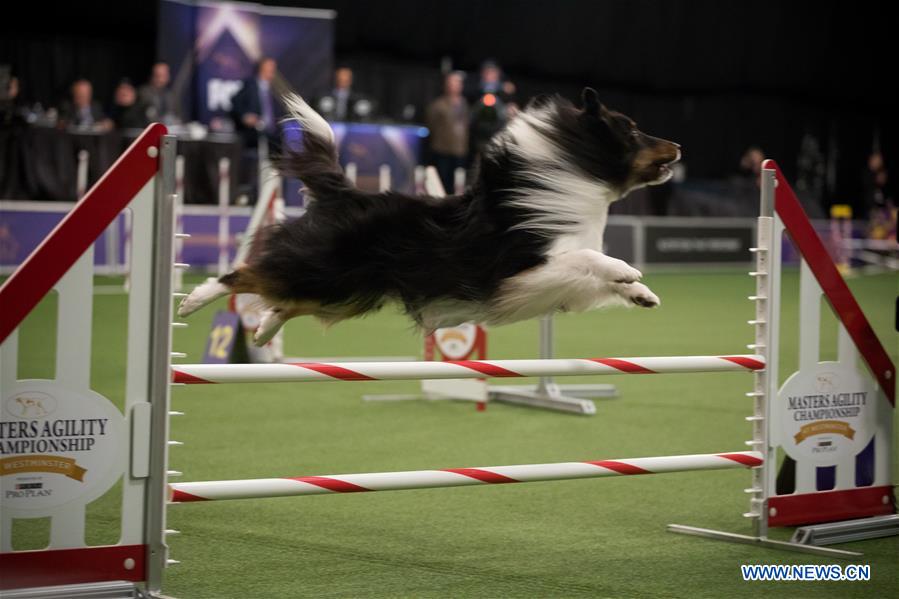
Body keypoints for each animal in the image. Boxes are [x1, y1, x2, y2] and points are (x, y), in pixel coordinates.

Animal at [176, 86, 684, 344]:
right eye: (632, 131)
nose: (678, 146)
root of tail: (345, 193)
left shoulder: (554, 285)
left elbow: (592, 274)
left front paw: (641, 294)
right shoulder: (521, 271)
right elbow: (589, 259)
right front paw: (628, 271)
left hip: (349, 288)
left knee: (287, 298)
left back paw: (263, 329)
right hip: (326, 268)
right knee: (246, 274)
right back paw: (193, 300)